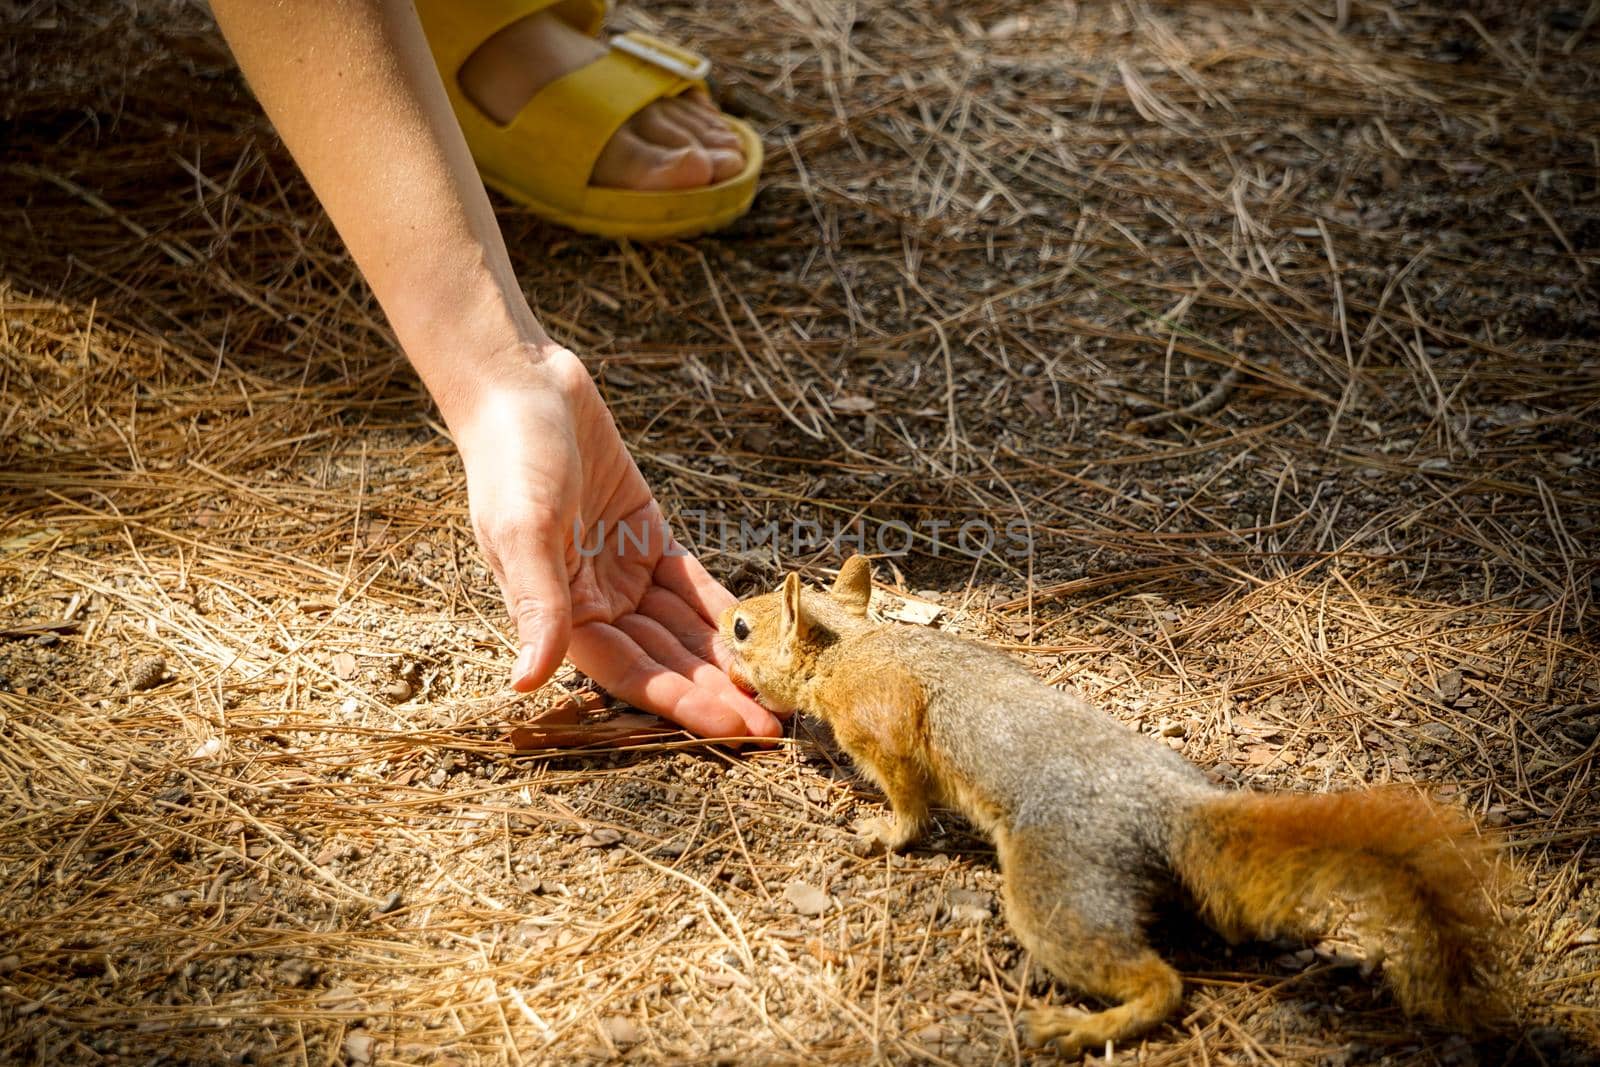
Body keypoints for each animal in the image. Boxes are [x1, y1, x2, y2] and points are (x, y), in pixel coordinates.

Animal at [726, 556, 1510, 1055]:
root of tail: (1173, 808)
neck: (851, 644)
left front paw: (883, 831)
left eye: (742, 628)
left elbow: (908, 795)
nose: (722, 619)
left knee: (1159, 981)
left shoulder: (882, 723)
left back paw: (1080, 1030)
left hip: (1061, 885)